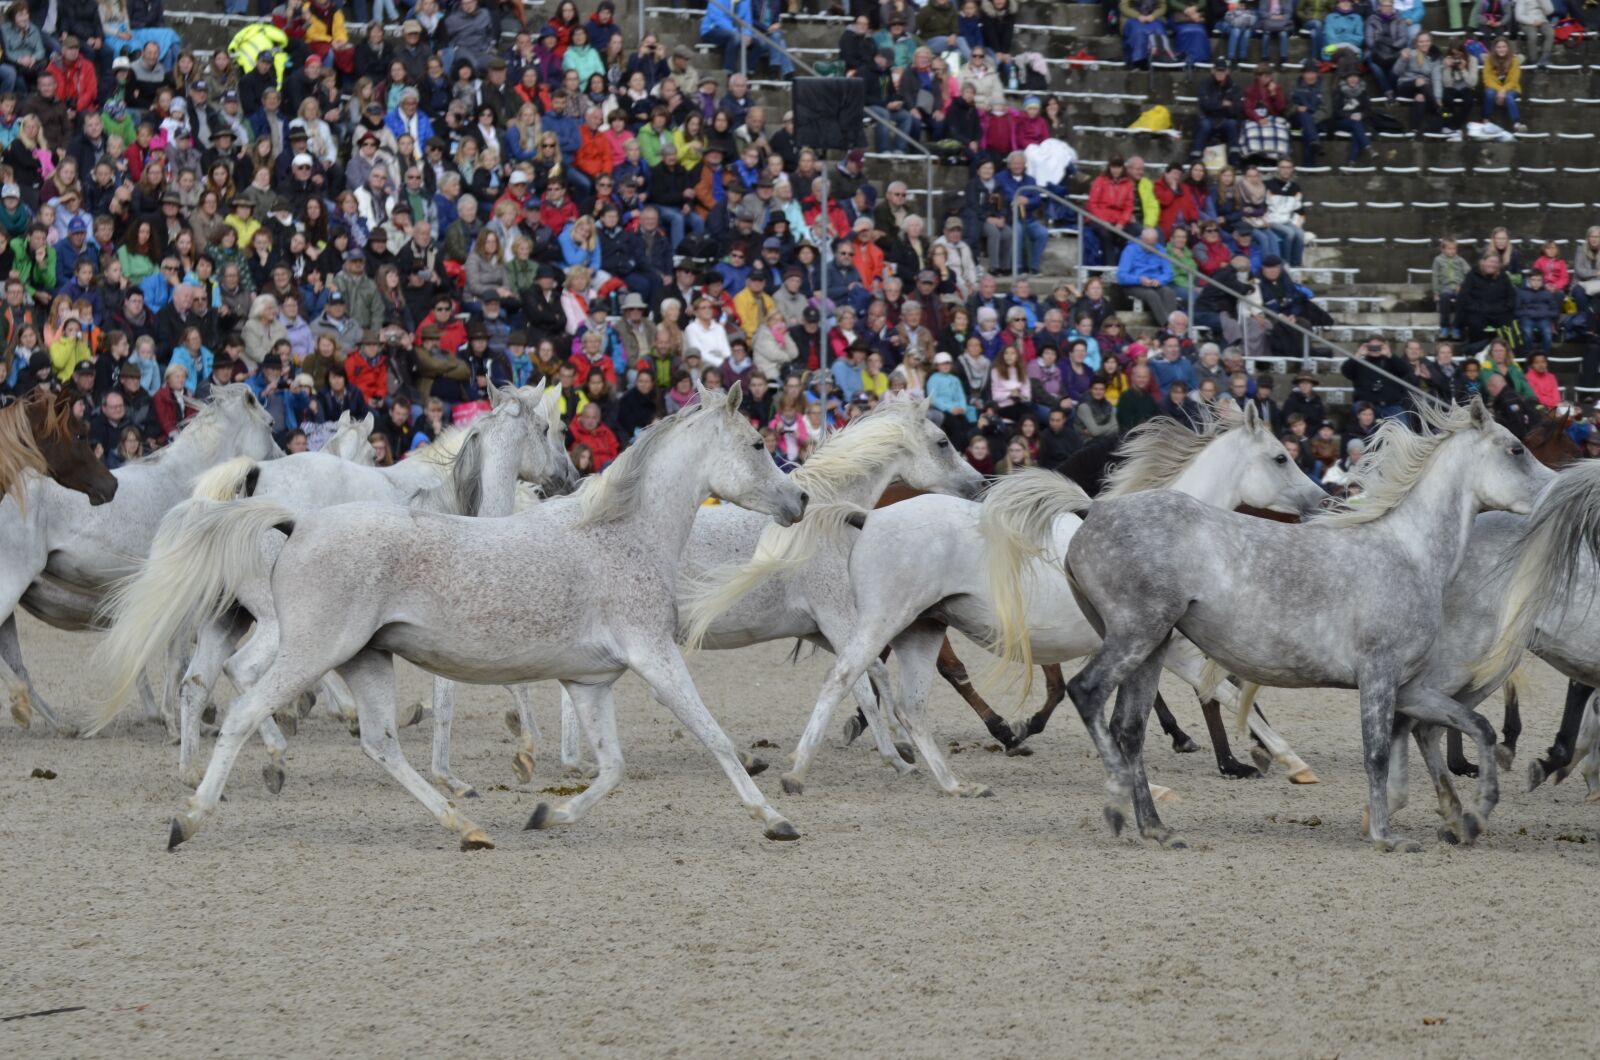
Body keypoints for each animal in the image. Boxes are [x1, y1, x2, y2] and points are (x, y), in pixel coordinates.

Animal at [0, 386, 280, 736]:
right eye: (271, 424)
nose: (281, 460)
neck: (188, 485)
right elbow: (177, 659)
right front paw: (175, 723)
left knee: (17, 664)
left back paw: (58, 722)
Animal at [95, 385, 811, 851]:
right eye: (757, 442)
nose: (799, 498)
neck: (623, 535)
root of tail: (293, 519)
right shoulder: (655, 658)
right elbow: (715, 738)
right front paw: (774, 818)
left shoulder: (590, 683)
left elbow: (611, 768)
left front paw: (546, 816)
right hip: (310, 650)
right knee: (246, 708)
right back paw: (193, 814)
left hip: (363, 658)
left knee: (377, 741)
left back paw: (465, 827)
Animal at [984, 398, 1552, 851]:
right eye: (1515, 449)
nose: (1553, 495)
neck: (1406, 553)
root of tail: (1093, 513)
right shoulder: (1379, 676)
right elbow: (1375, 752)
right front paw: (1385, 835)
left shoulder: (1411, 688)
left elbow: (1471, 727)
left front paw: (1472, 814)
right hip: (1134, 636)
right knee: (1085, 693)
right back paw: (1116, 801)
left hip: (1152, 647)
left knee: (1129, 729)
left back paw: (1158, 827)